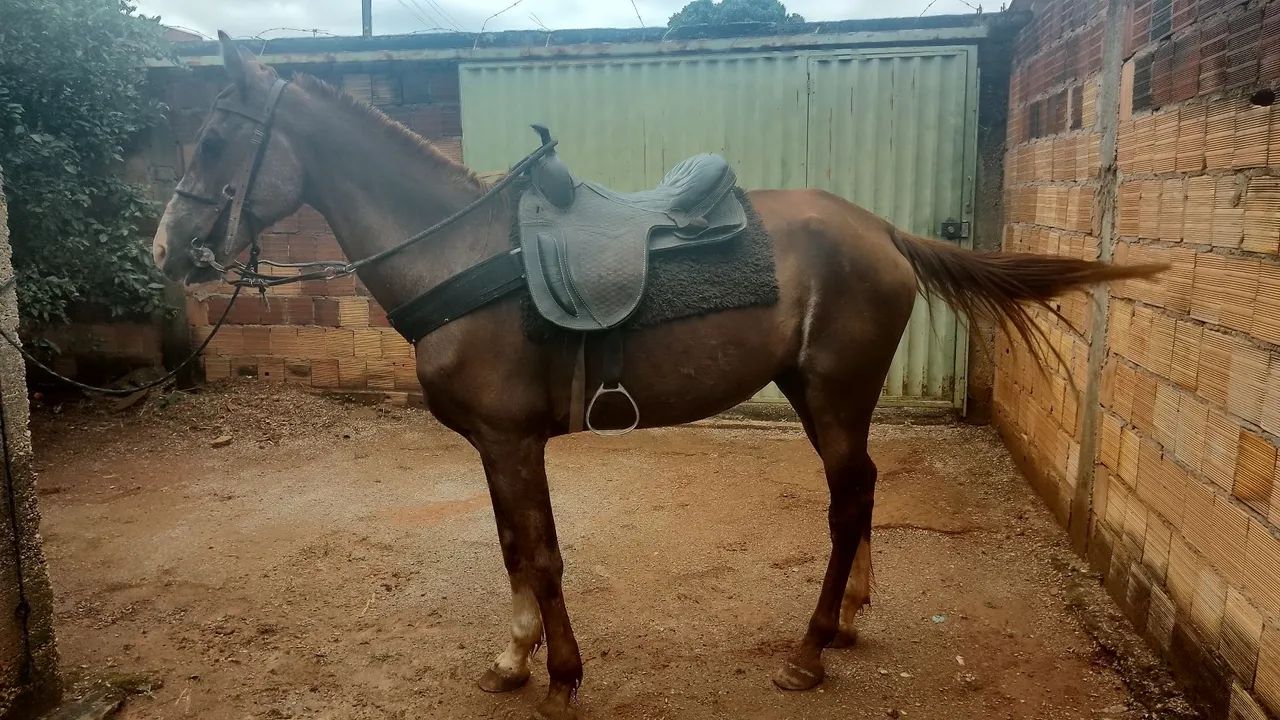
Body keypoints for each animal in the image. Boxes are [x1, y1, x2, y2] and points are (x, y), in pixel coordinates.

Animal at [150, 34, 1160, 720]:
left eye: (216, 140)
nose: (166, 249)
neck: (463, 256)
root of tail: (880, 229)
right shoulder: (494, 448)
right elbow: (512, 551)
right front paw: (513, 660)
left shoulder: (513, 443)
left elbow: (544, 556)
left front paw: (561, 679)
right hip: (825, 398)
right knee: (866, 494)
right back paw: (845, 620)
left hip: (833, 398)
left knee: (845, 506)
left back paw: (808, 653)